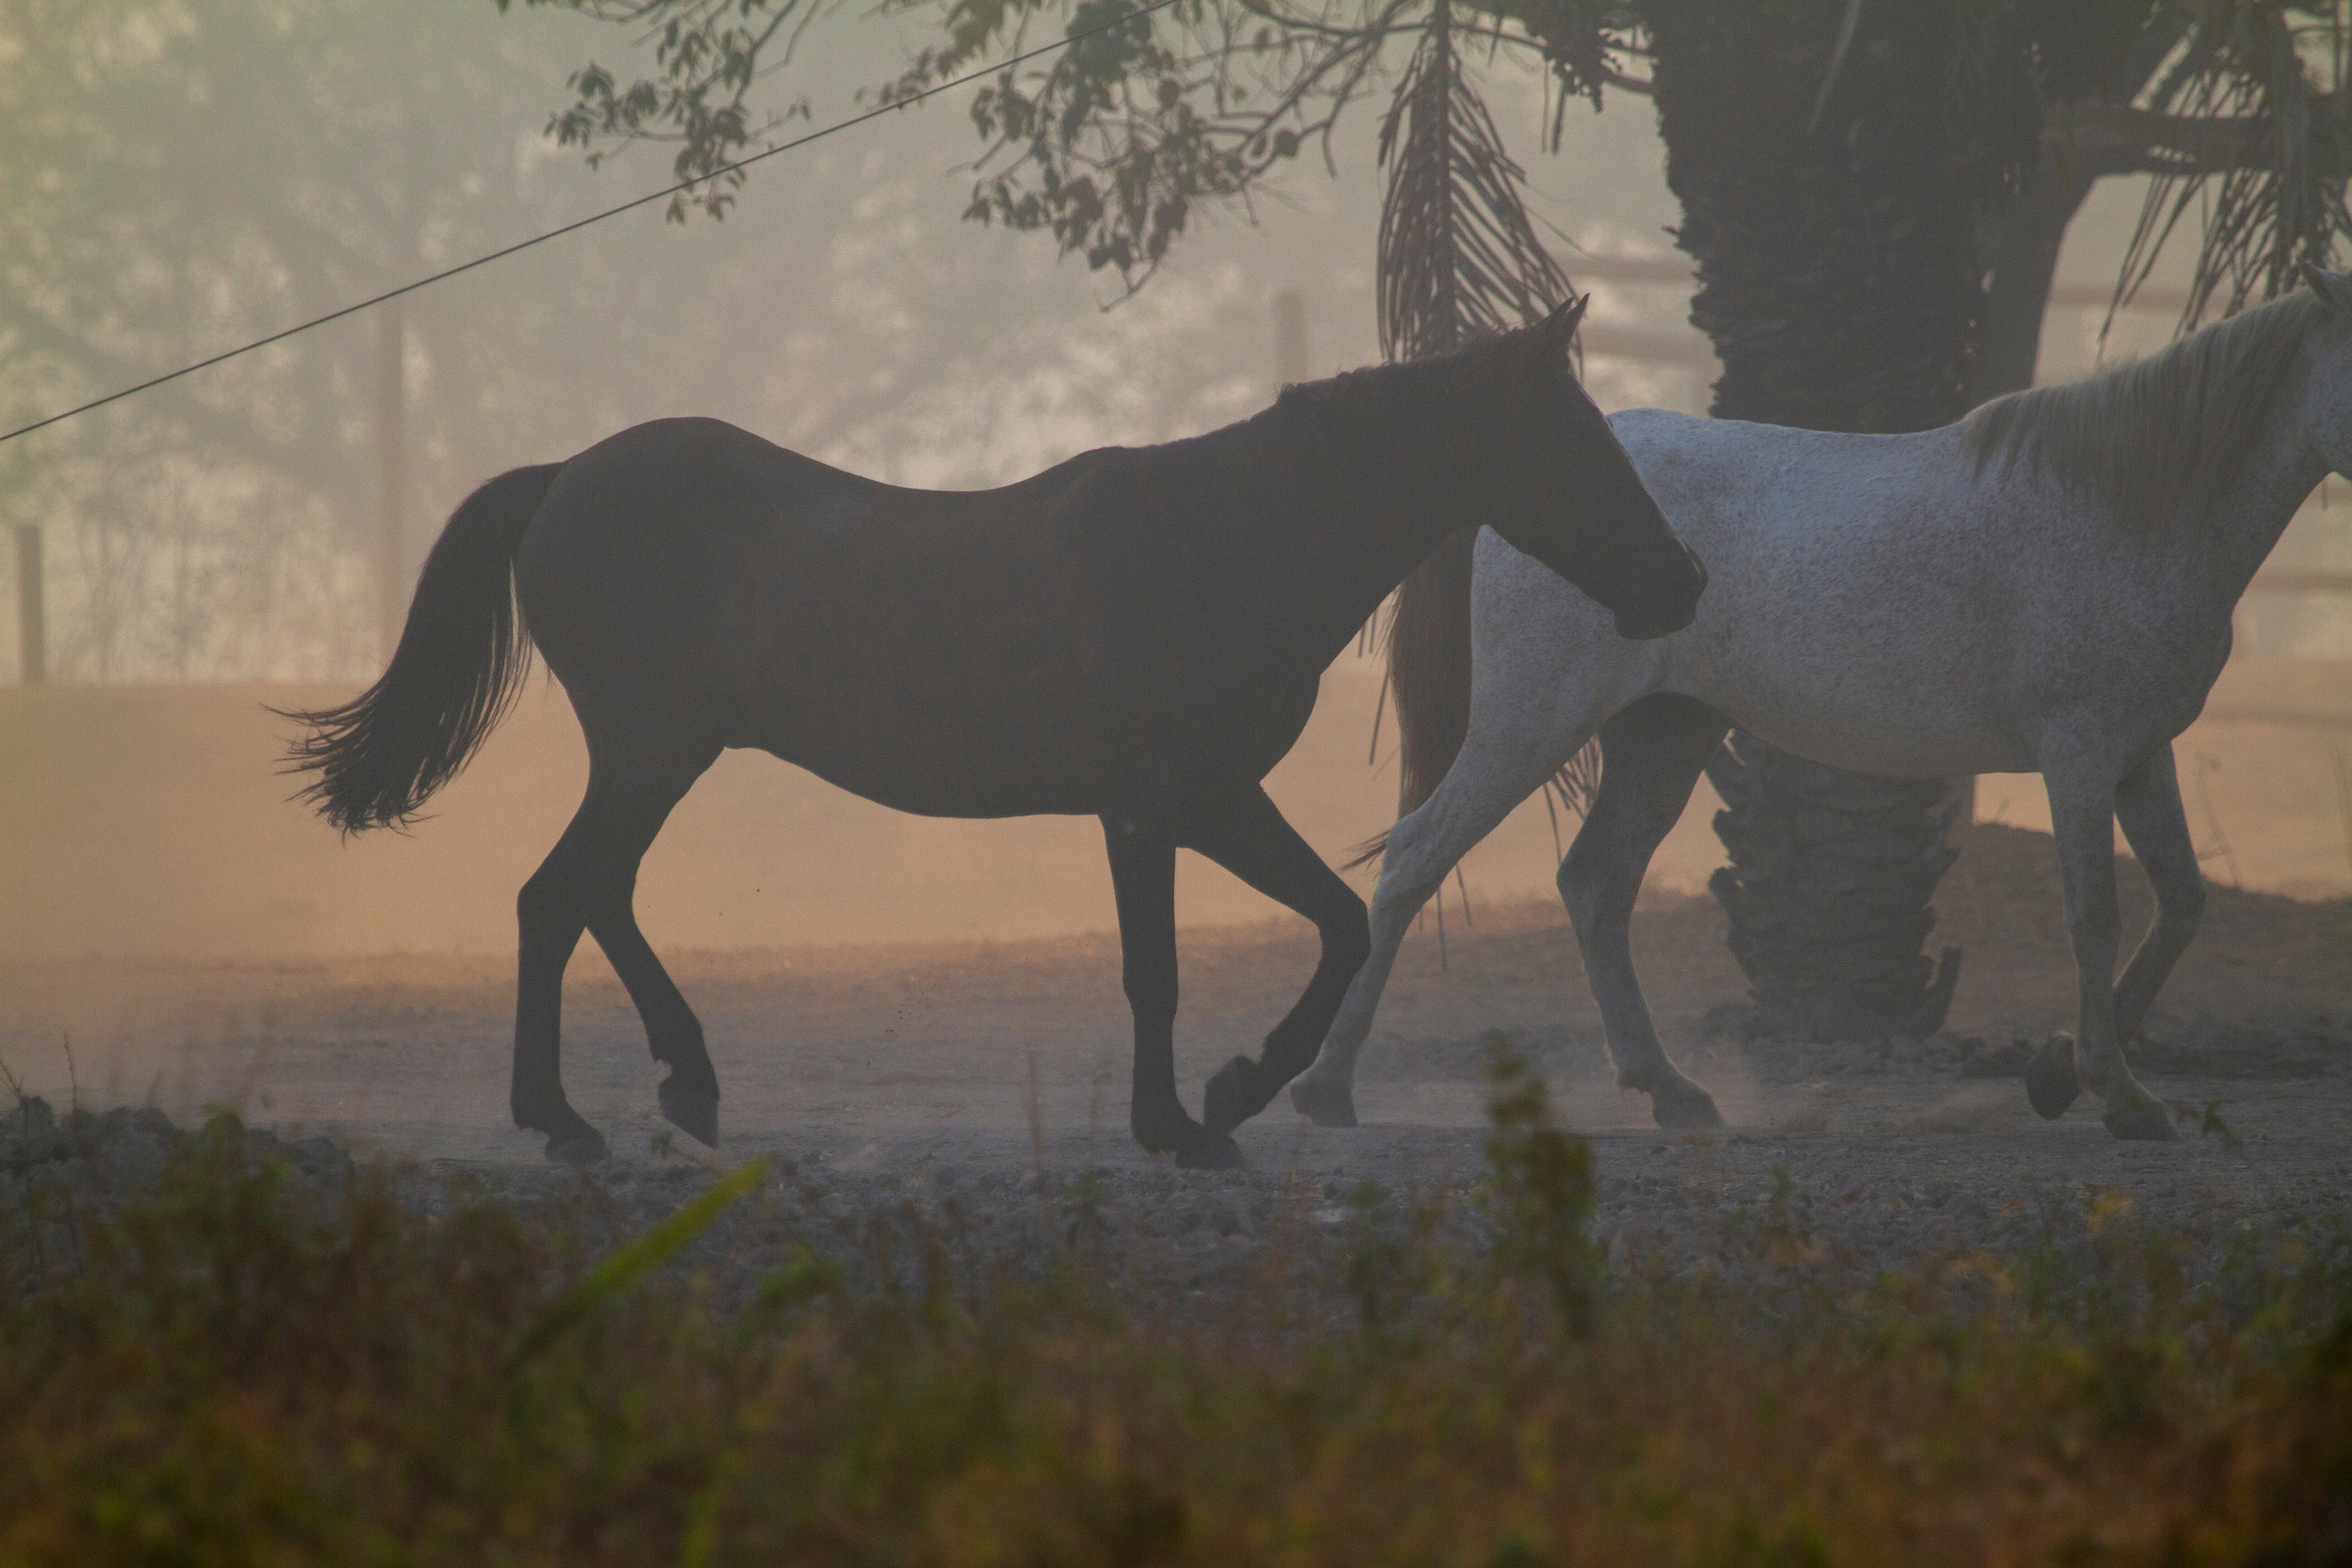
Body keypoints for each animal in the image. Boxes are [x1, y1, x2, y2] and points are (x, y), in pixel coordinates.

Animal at [283, 297, 1707, 1168]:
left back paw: (680, 1080)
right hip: (649, 751)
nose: (1683, 582)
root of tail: (562, 479)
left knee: (595, 896)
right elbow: (1156, 970)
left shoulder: (1218, 800)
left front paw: (1238, 1088)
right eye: (1573, 436)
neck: (1227, 542)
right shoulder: (1148, 808)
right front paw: (1179, 1121)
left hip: (659, 757)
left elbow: (1338, 921)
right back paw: (568, 1116)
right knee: (556, 896)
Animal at [1291, 265, 2352, 1145]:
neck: (2129, 507)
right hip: (1531, 725)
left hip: (1663, 735)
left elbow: (2181, 904)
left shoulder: (2140, 753)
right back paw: (1326, 1086)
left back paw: (1672, 1089)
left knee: (1595, 884)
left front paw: (2058, 1073)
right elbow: (2095, 913)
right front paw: (2118, 1092)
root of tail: (1493, 494)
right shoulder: (2080, 755)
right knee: (1413, 861)